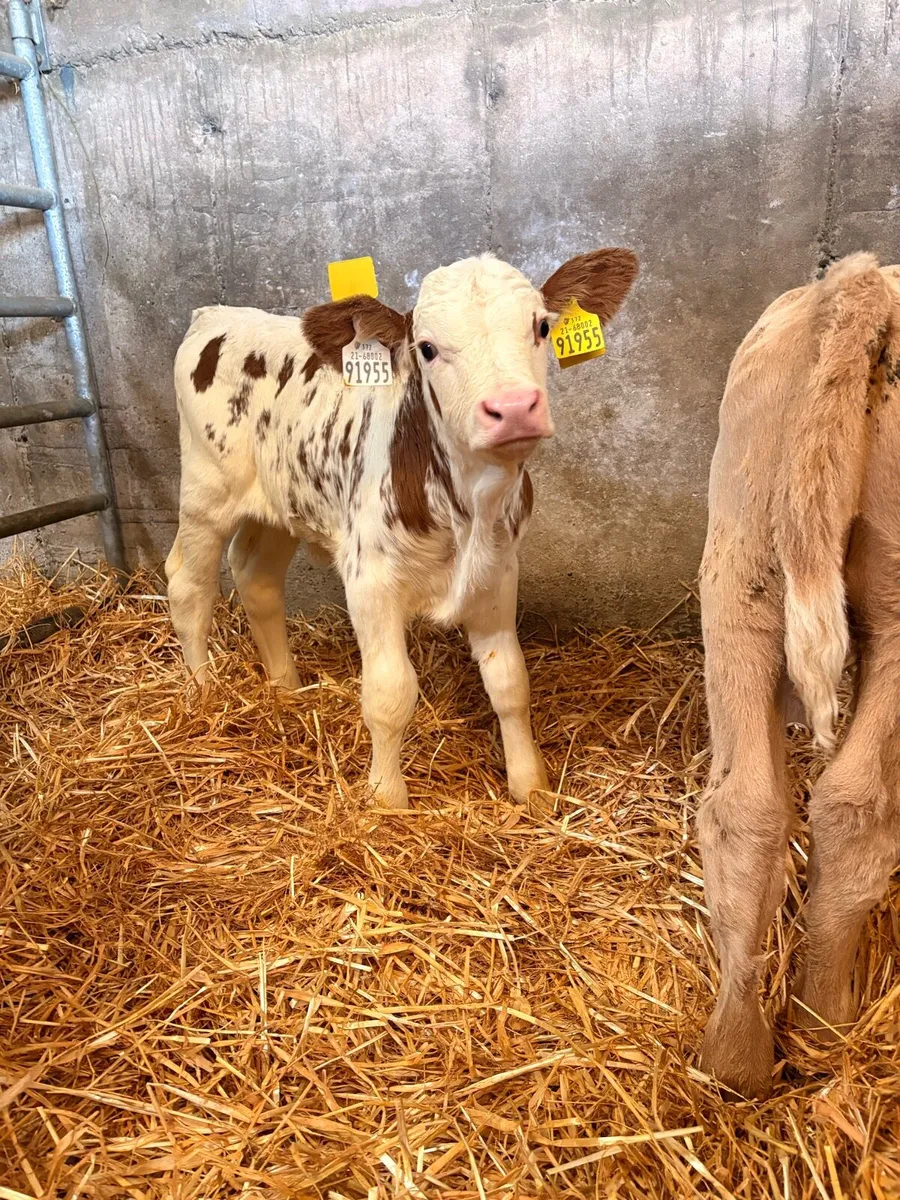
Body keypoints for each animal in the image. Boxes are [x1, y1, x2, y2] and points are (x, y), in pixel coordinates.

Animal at [166, 249, 638, 810]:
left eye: (541, 326)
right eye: (427, 348)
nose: (514, 407)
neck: (467, 509)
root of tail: (216, 314)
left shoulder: (499, 571)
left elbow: (510, 682)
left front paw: (531, 787)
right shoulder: (369, 579)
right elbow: (390, 693)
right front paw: (386, 800)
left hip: (283, 500)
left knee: (256, 576)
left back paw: (286, 687)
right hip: (205, 492)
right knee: (188, 586)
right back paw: (202, 693)